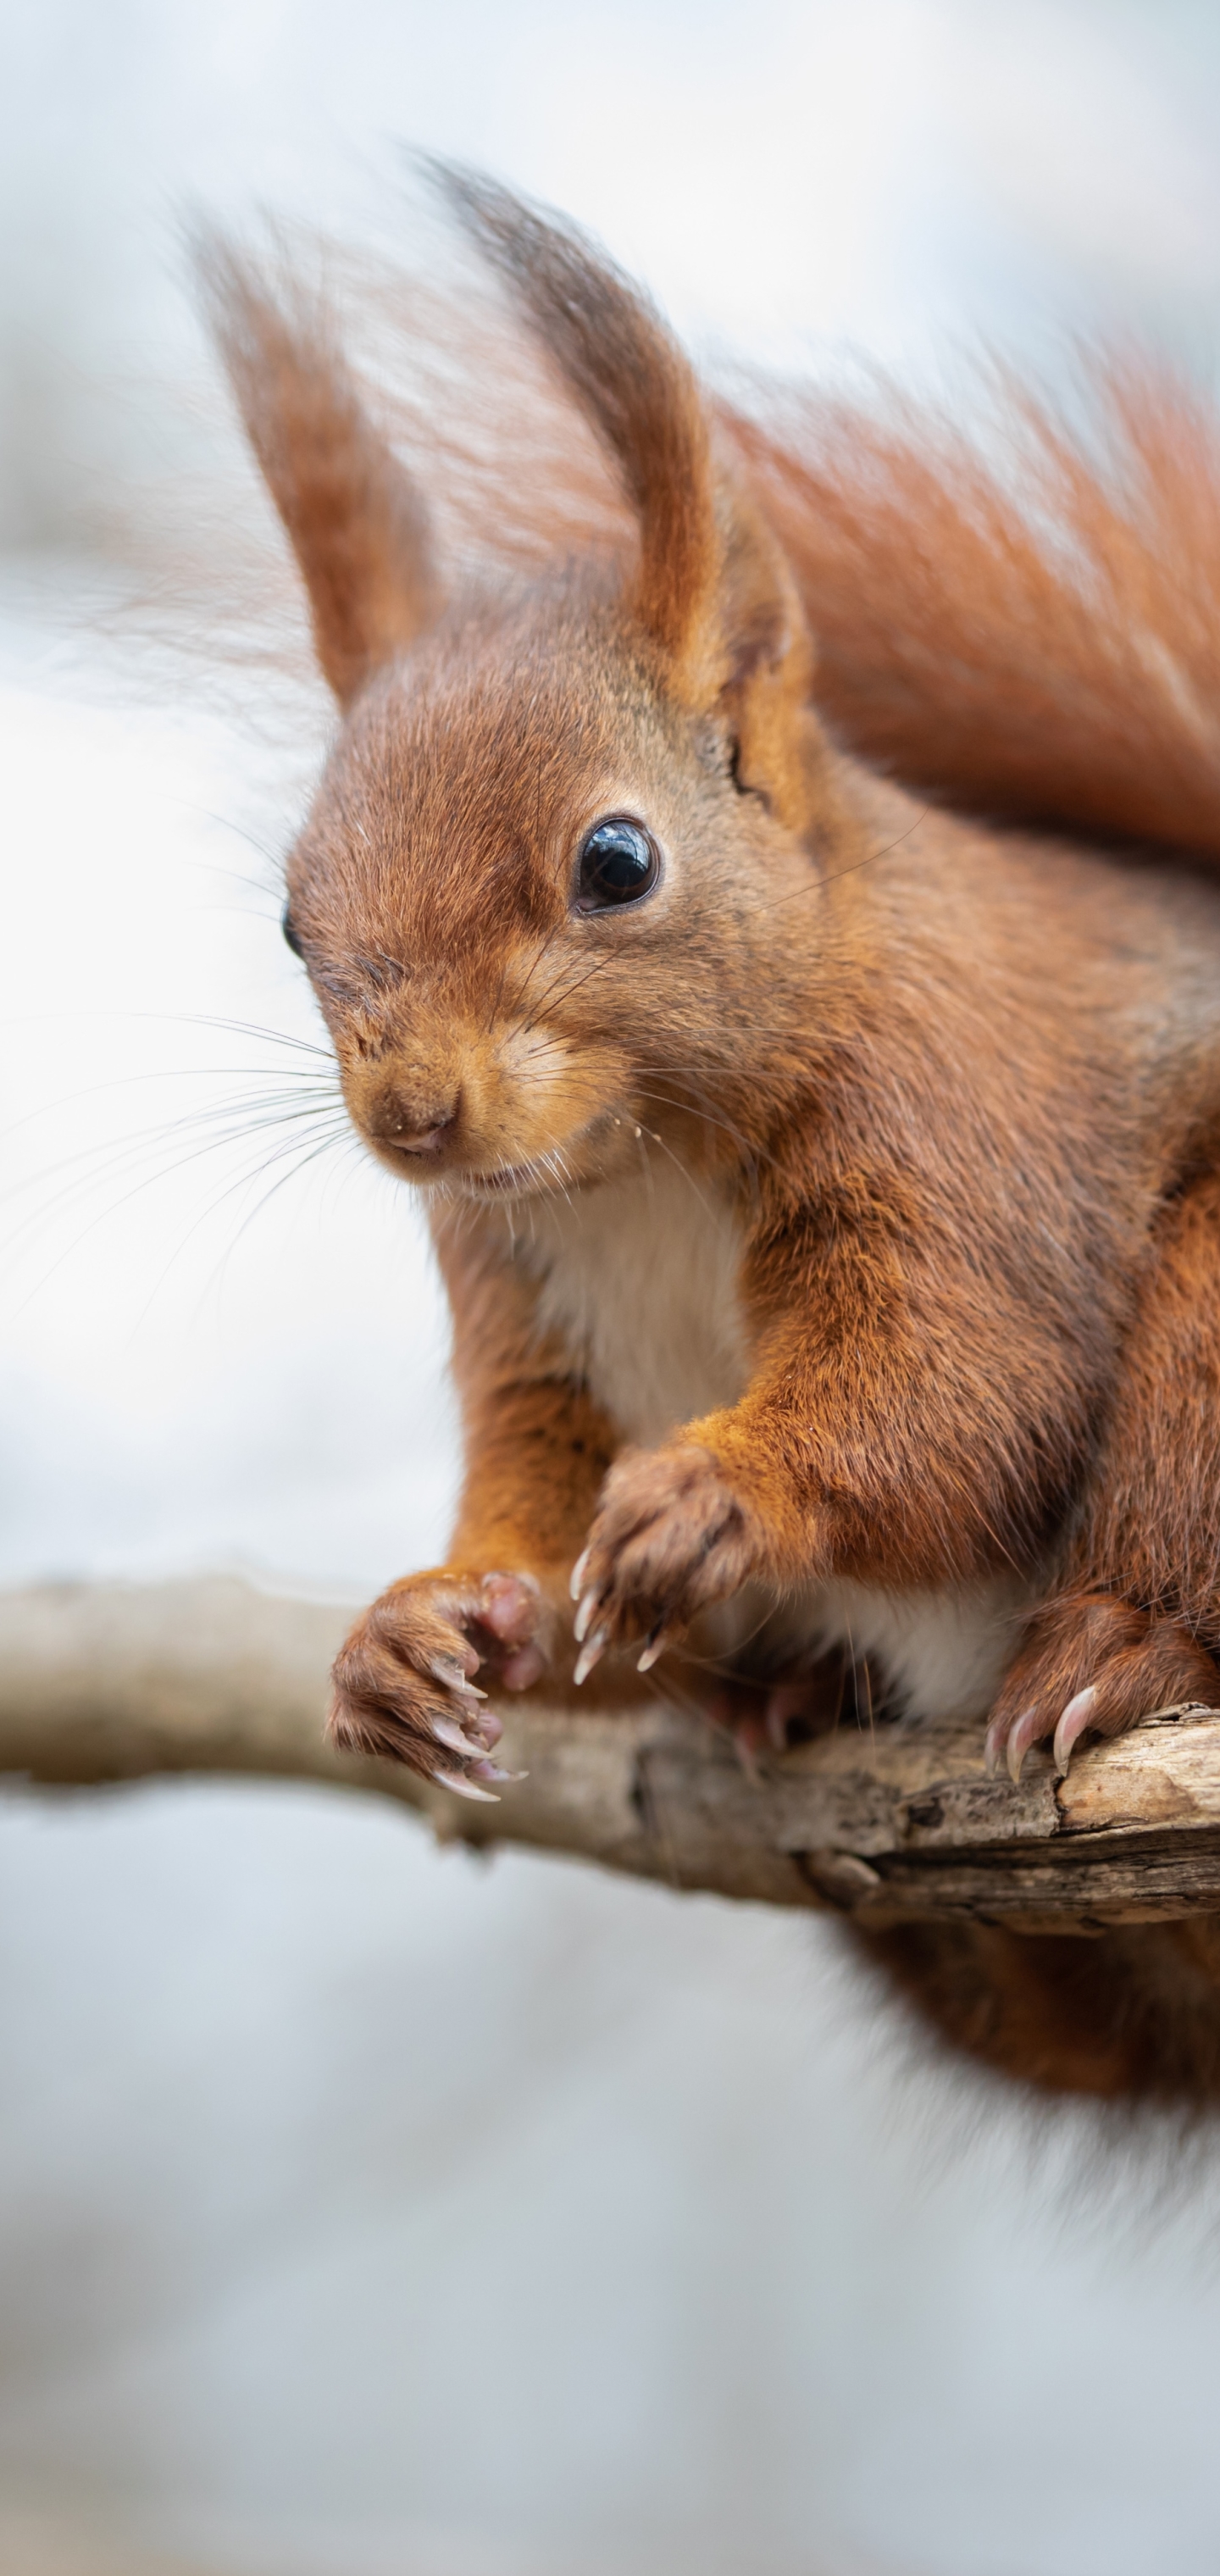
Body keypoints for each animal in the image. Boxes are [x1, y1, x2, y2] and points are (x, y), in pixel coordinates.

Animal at [207, 161, 1220, 2091]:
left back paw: (1117, 1651)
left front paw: (725, 1498)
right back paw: (790, 1695)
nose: (413, 1111)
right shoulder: (517, 1292)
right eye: (291, 922)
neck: (634, 1170)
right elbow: (534, 1482)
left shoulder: (960, 1117)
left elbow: (962, 1378)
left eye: (617, 860)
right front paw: (425, 1624)